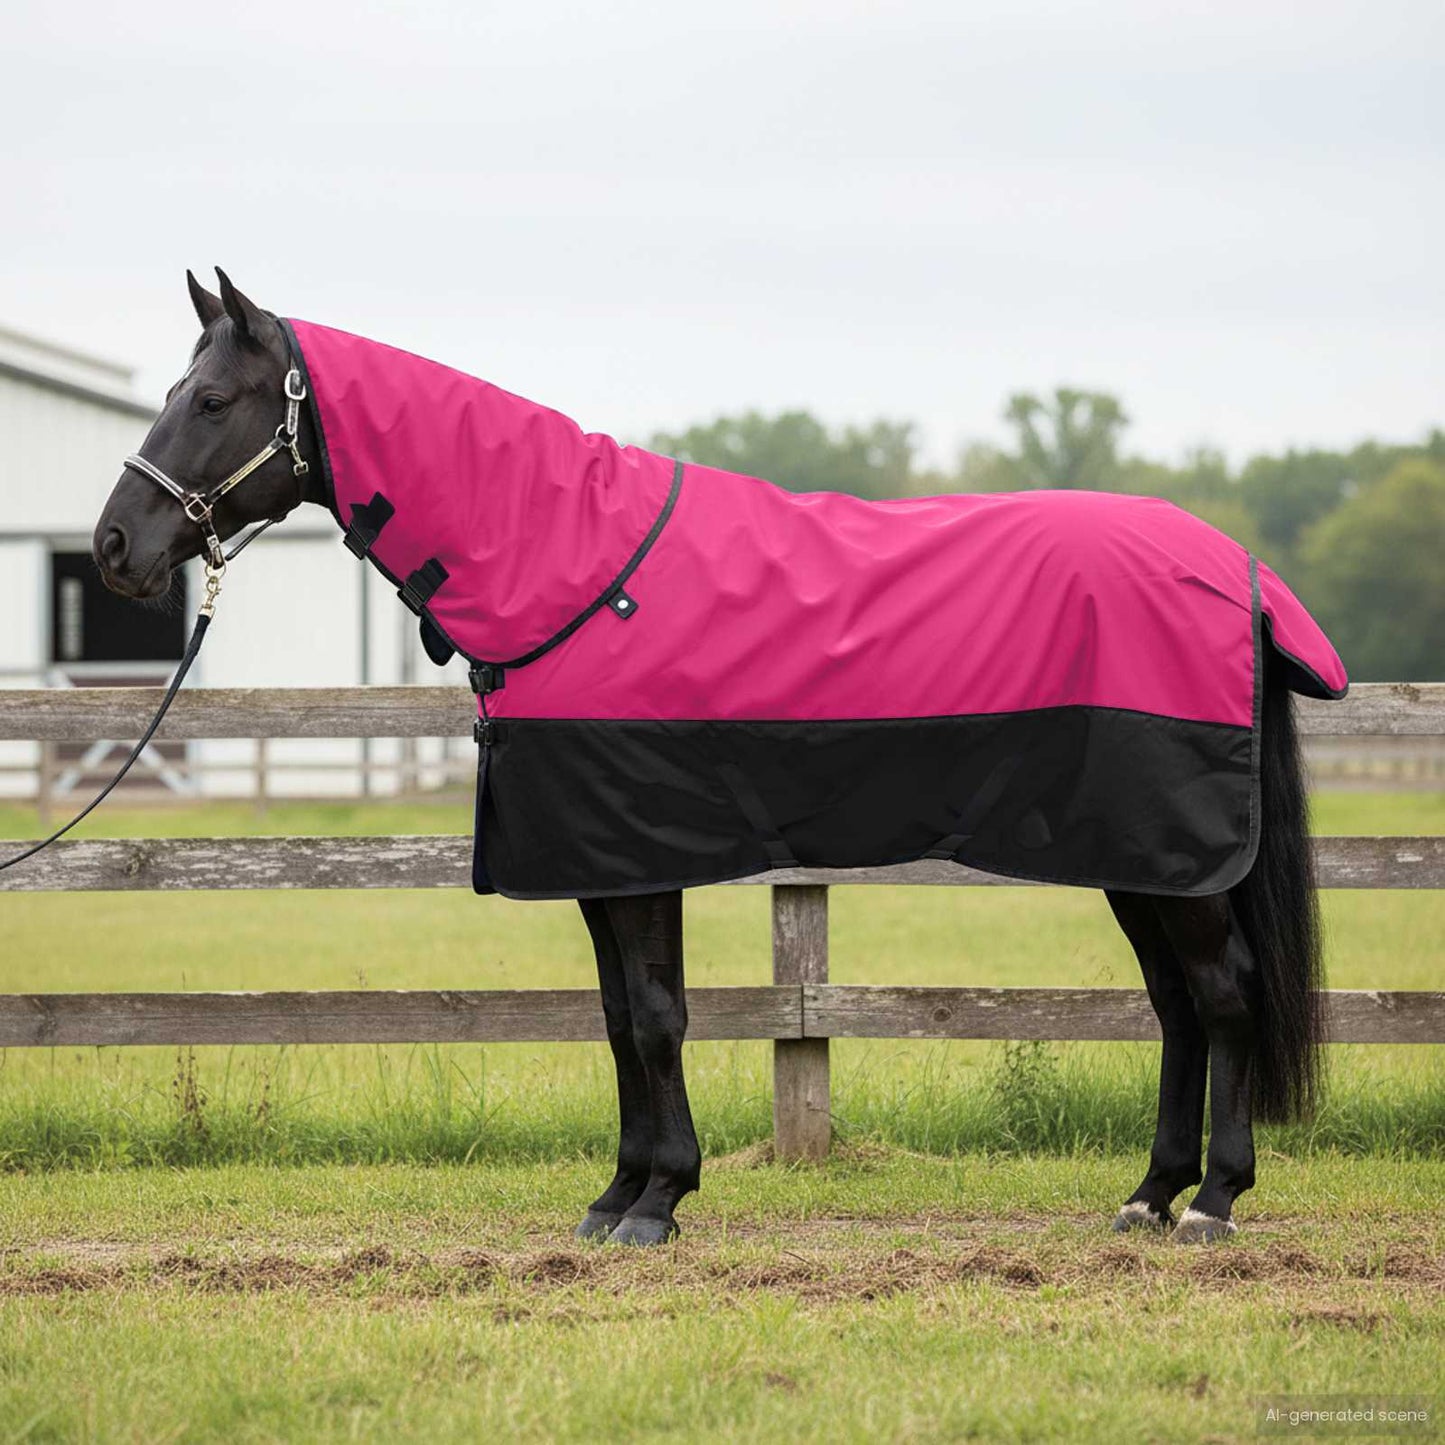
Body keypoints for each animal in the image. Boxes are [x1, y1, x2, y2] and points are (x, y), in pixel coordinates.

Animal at [92, 269, 1345, 1247]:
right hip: (1139, 858)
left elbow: (654, 1015)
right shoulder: (597, 862)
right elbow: (616, 1018)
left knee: (1221, 995)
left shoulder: (638, 854)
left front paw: (656, 1202)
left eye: (211, 399)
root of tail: (1234, 570)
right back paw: (1147, 1194)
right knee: (1176, 1005)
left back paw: (1212, 1201)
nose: (114, 546)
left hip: (1170, 855)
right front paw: (616, 1195)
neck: (572, 565)